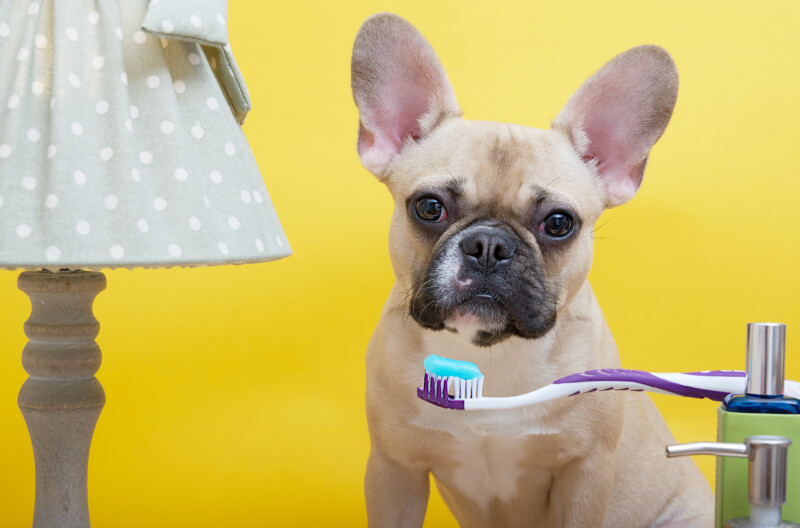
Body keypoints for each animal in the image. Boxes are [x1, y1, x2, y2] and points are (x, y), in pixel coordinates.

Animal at [350, 13, 712, 528]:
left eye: (559, 223)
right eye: (429, 207)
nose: (489, 246)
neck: (487, 353)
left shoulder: (585, 473)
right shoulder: (393, 468)